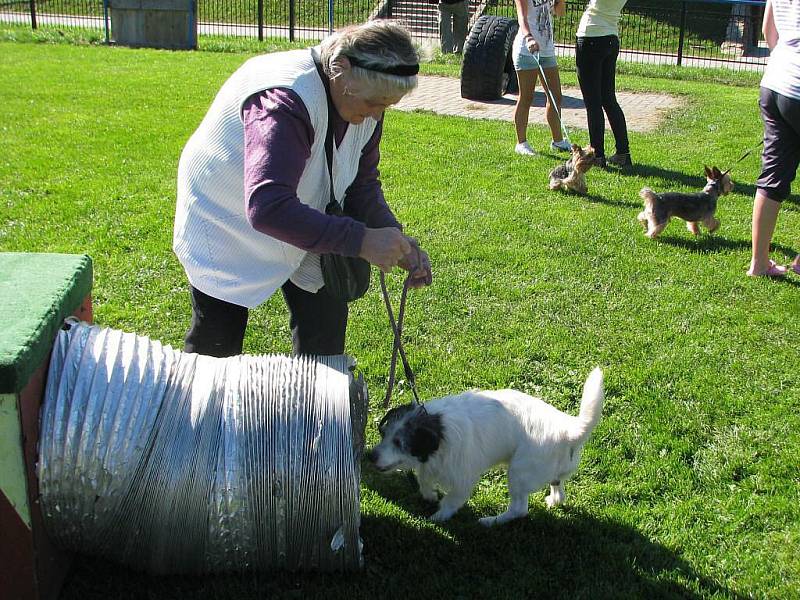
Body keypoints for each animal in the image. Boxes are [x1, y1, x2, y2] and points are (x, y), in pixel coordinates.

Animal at [366, 368, 604, 528]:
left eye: (399, 442)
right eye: (384, 434)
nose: (370, 456)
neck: (439, 430)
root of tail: (569, 429)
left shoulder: (462, 479)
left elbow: (451, 500)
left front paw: (437, 517)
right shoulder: (431, 465)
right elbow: (424, 480)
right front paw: (429, 495)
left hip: (519, 473)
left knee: (519, 509)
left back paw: (491, 521)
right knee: (558, 486)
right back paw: (554, 499)